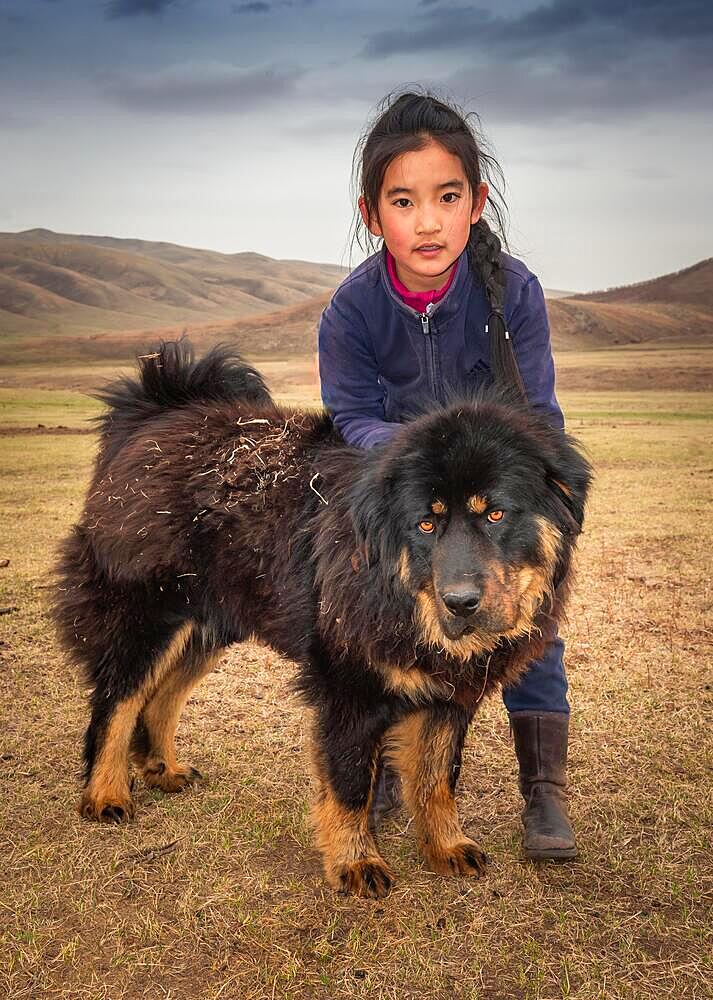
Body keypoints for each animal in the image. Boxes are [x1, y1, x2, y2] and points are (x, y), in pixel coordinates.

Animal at [54, 342, 588, 900]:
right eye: (426, 524)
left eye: (495, 515)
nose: (459, 602)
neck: (395, 589)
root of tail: (153, 415)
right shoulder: (347, 688)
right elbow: (351, 784)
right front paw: (355, 862)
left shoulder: (450, 693)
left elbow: (438, 777)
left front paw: (445, 846)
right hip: (149, 619)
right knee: (117, 703)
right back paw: (106, 794)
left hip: (210, 624)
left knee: (162, 697)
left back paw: (163, 769)